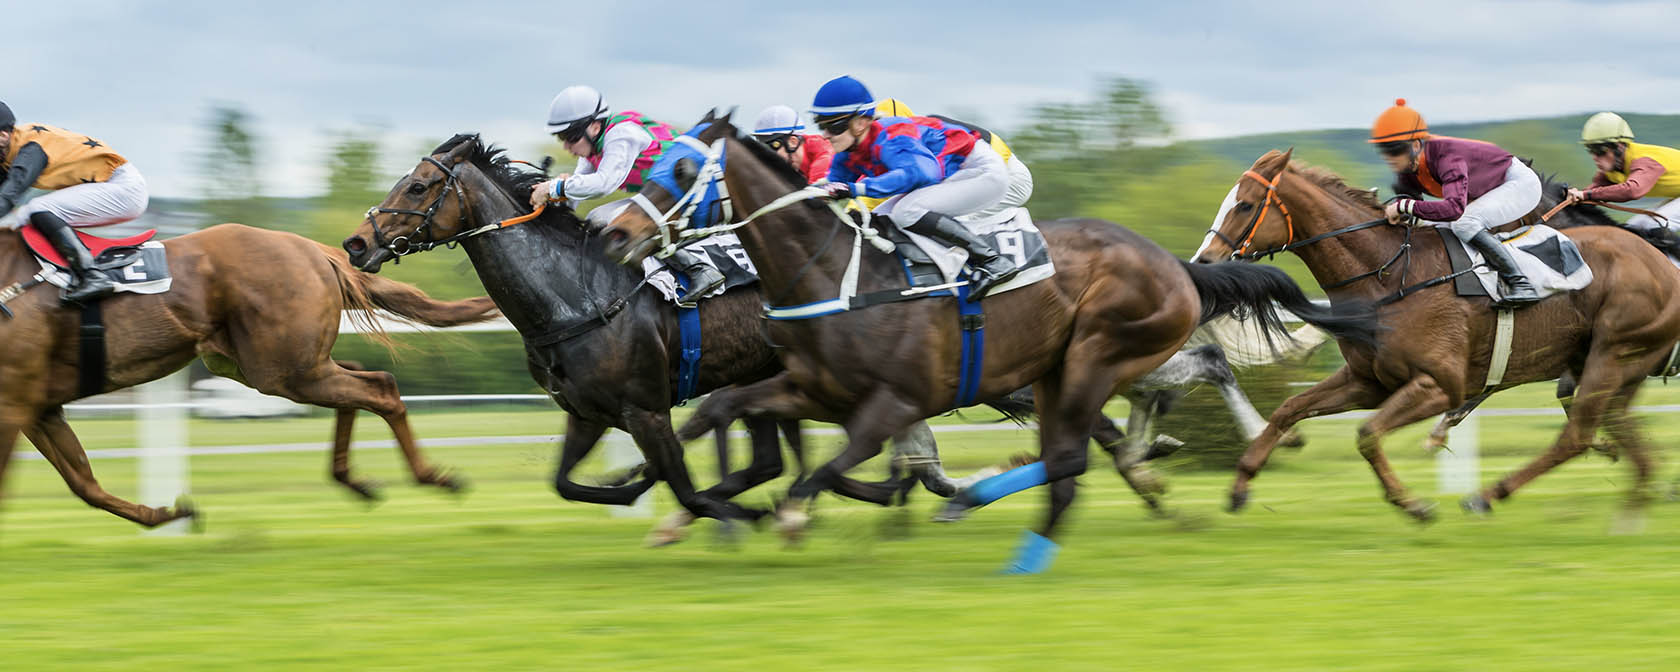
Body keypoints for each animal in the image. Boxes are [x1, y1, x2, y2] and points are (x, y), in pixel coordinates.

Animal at [0, 225, 497, 530]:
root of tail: (313, 249)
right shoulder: (37, 407)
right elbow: (84, 484)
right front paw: (169, 512)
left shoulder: (14, 403)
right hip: (275, 365)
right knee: (359, 381)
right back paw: (353, 479)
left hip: (283, 368)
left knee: (380, 387)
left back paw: (432, 476)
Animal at [594, 115, 1377, 571]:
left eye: (680, 171)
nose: (613, 232)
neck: (836, 270)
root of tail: (1172, 262)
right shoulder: (813, 388)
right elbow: (720, 411)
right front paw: (652, 489)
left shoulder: (893, 400)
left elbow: (826, 471)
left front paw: (778, 514)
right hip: (1065, 370)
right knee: (1087, 443)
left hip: (1095, 355)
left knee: (1110, 428)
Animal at [1196, 149, 1680, 520]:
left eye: (1245, 205)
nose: (1204, 262)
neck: (1390, 275)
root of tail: (1660, 263)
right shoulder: (1368, 381)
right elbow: (1289, 409)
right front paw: (1240, 484)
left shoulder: (1439, 385)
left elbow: (1367, 433)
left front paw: (1413, 504)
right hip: (1614, 366)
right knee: (1626, 440)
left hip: (1612, 354)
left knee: (1577, 436)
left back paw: (1487, 495)